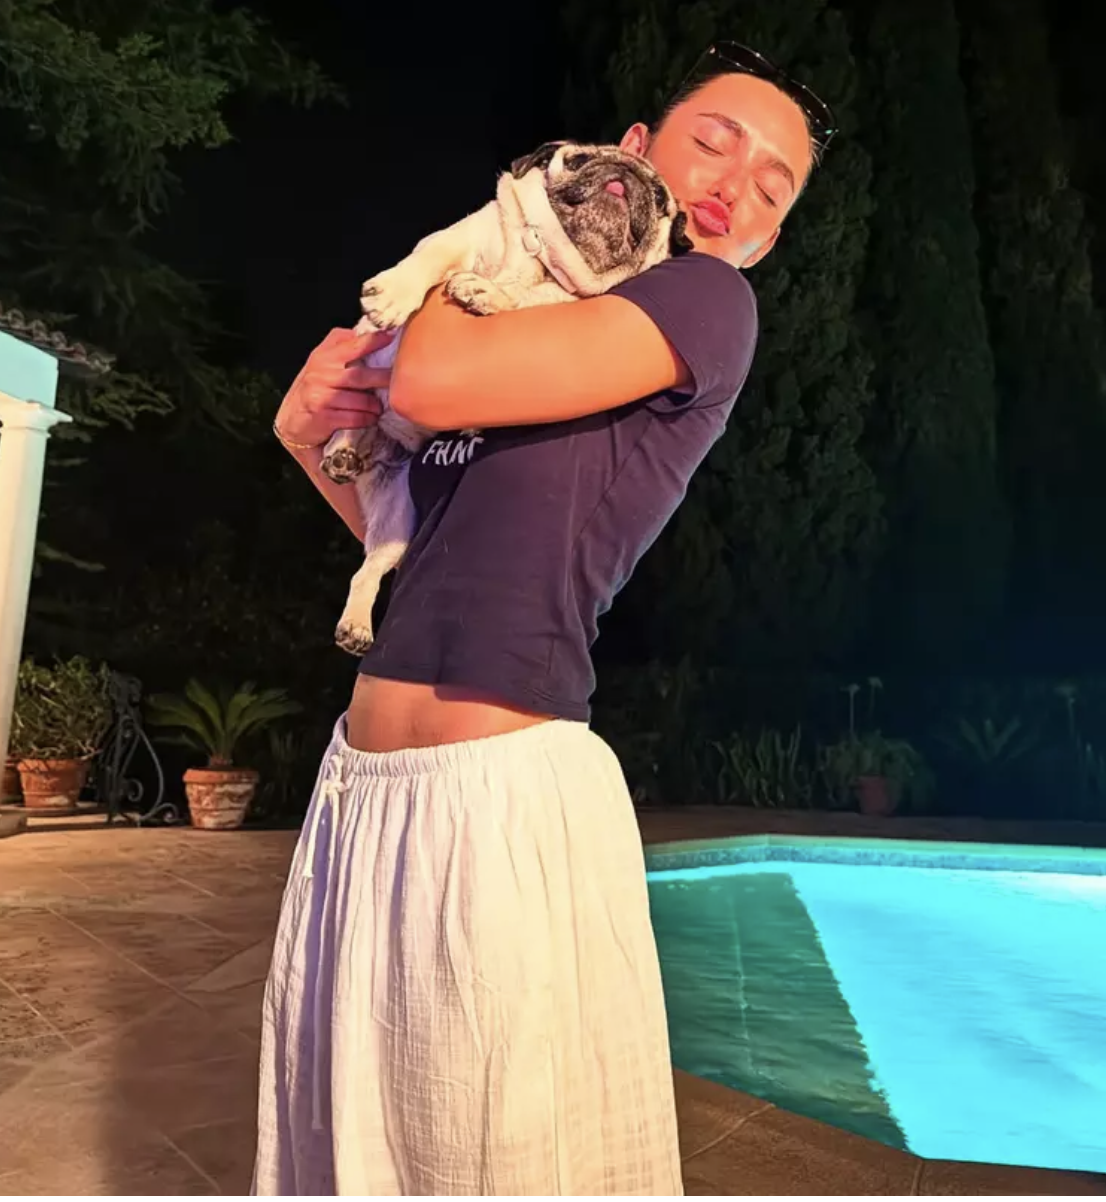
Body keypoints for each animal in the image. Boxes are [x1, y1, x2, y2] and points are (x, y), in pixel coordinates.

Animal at [323, 141, 694, 655]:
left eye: (660, 198)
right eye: (579, 160)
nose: (625, 174)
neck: (542, 259)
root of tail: (384, 449)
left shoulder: (565, 302)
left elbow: (530, 302)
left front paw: (487, 293)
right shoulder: (461, 238)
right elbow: (431, 256)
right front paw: (396, 294)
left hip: (397, 520)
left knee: (369, 569)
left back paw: (357, 623)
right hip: (364, 384)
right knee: (354, 412)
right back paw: (343, 450)